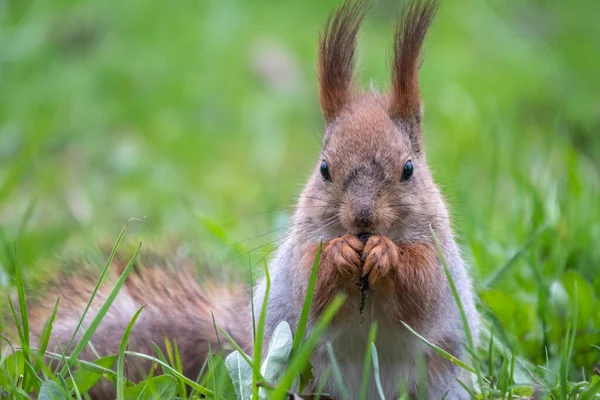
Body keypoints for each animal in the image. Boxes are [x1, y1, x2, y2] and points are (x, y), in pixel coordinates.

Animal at [10, 0, 478, 398]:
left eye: (408, 169)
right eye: (324, 169)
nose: (363, 220)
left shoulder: (441, 258)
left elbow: (423, 287)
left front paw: (386, 253)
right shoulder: (299, 256)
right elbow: (311, 282)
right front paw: (340, 253)